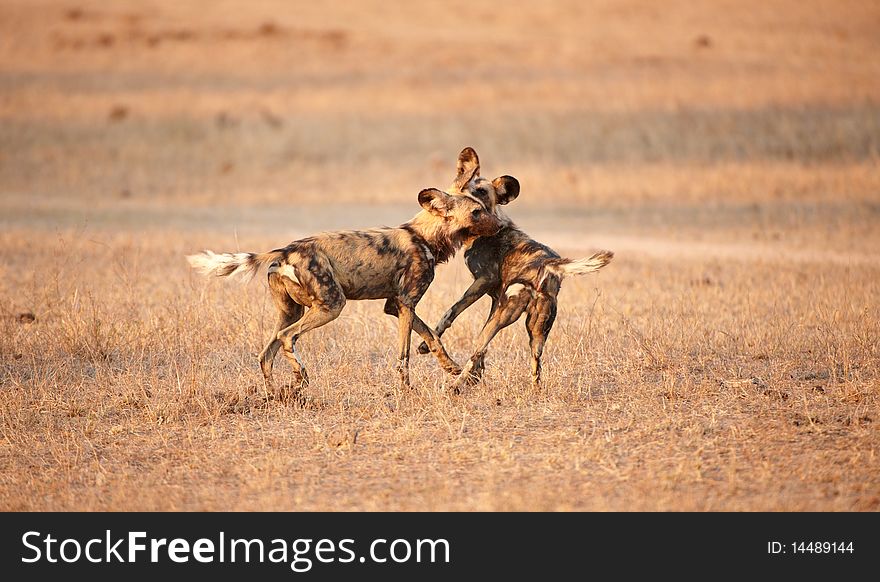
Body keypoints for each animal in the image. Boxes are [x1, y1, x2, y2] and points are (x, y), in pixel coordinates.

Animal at [186, 189, 502, 392]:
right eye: (477, 212)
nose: (500, 226)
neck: (424, 237)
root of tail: (285, 250)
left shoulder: (396, 305)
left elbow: (433, 338)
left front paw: (453, 369)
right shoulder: (405, 305)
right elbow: (404, 356)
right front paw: (407, 391)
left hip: (292, 311)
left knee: (266, 353)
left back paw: (277, 395)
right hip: (331, 305)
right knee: (287, 337)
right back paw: (301, 377)